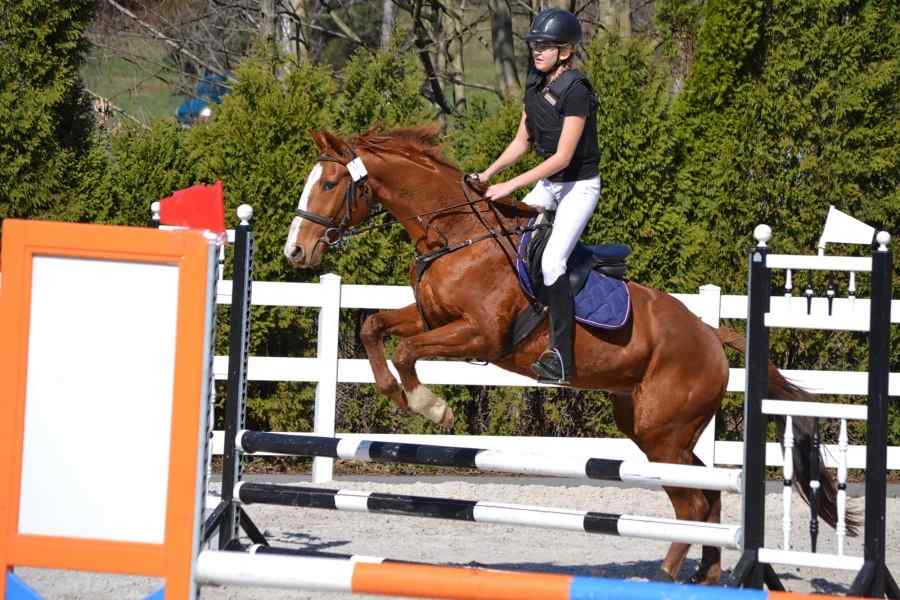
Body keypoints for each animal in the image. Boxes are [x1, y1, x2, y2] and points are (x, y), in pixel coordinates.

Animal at [284, 123, 856, 584]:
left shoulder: (479, 335)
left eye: (330, 184)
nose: (296, 251)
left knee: (694, 500)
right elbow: (373, 326)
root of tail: (711, 334)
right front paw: (396, 395)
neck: (455, 236)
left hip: (663, 430)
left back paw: (665, 573)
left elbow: (406, 350)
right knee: (707, 494)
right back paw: (705, 577)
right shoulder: (432, 317)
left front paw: (430, 406)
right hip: (653, 428)